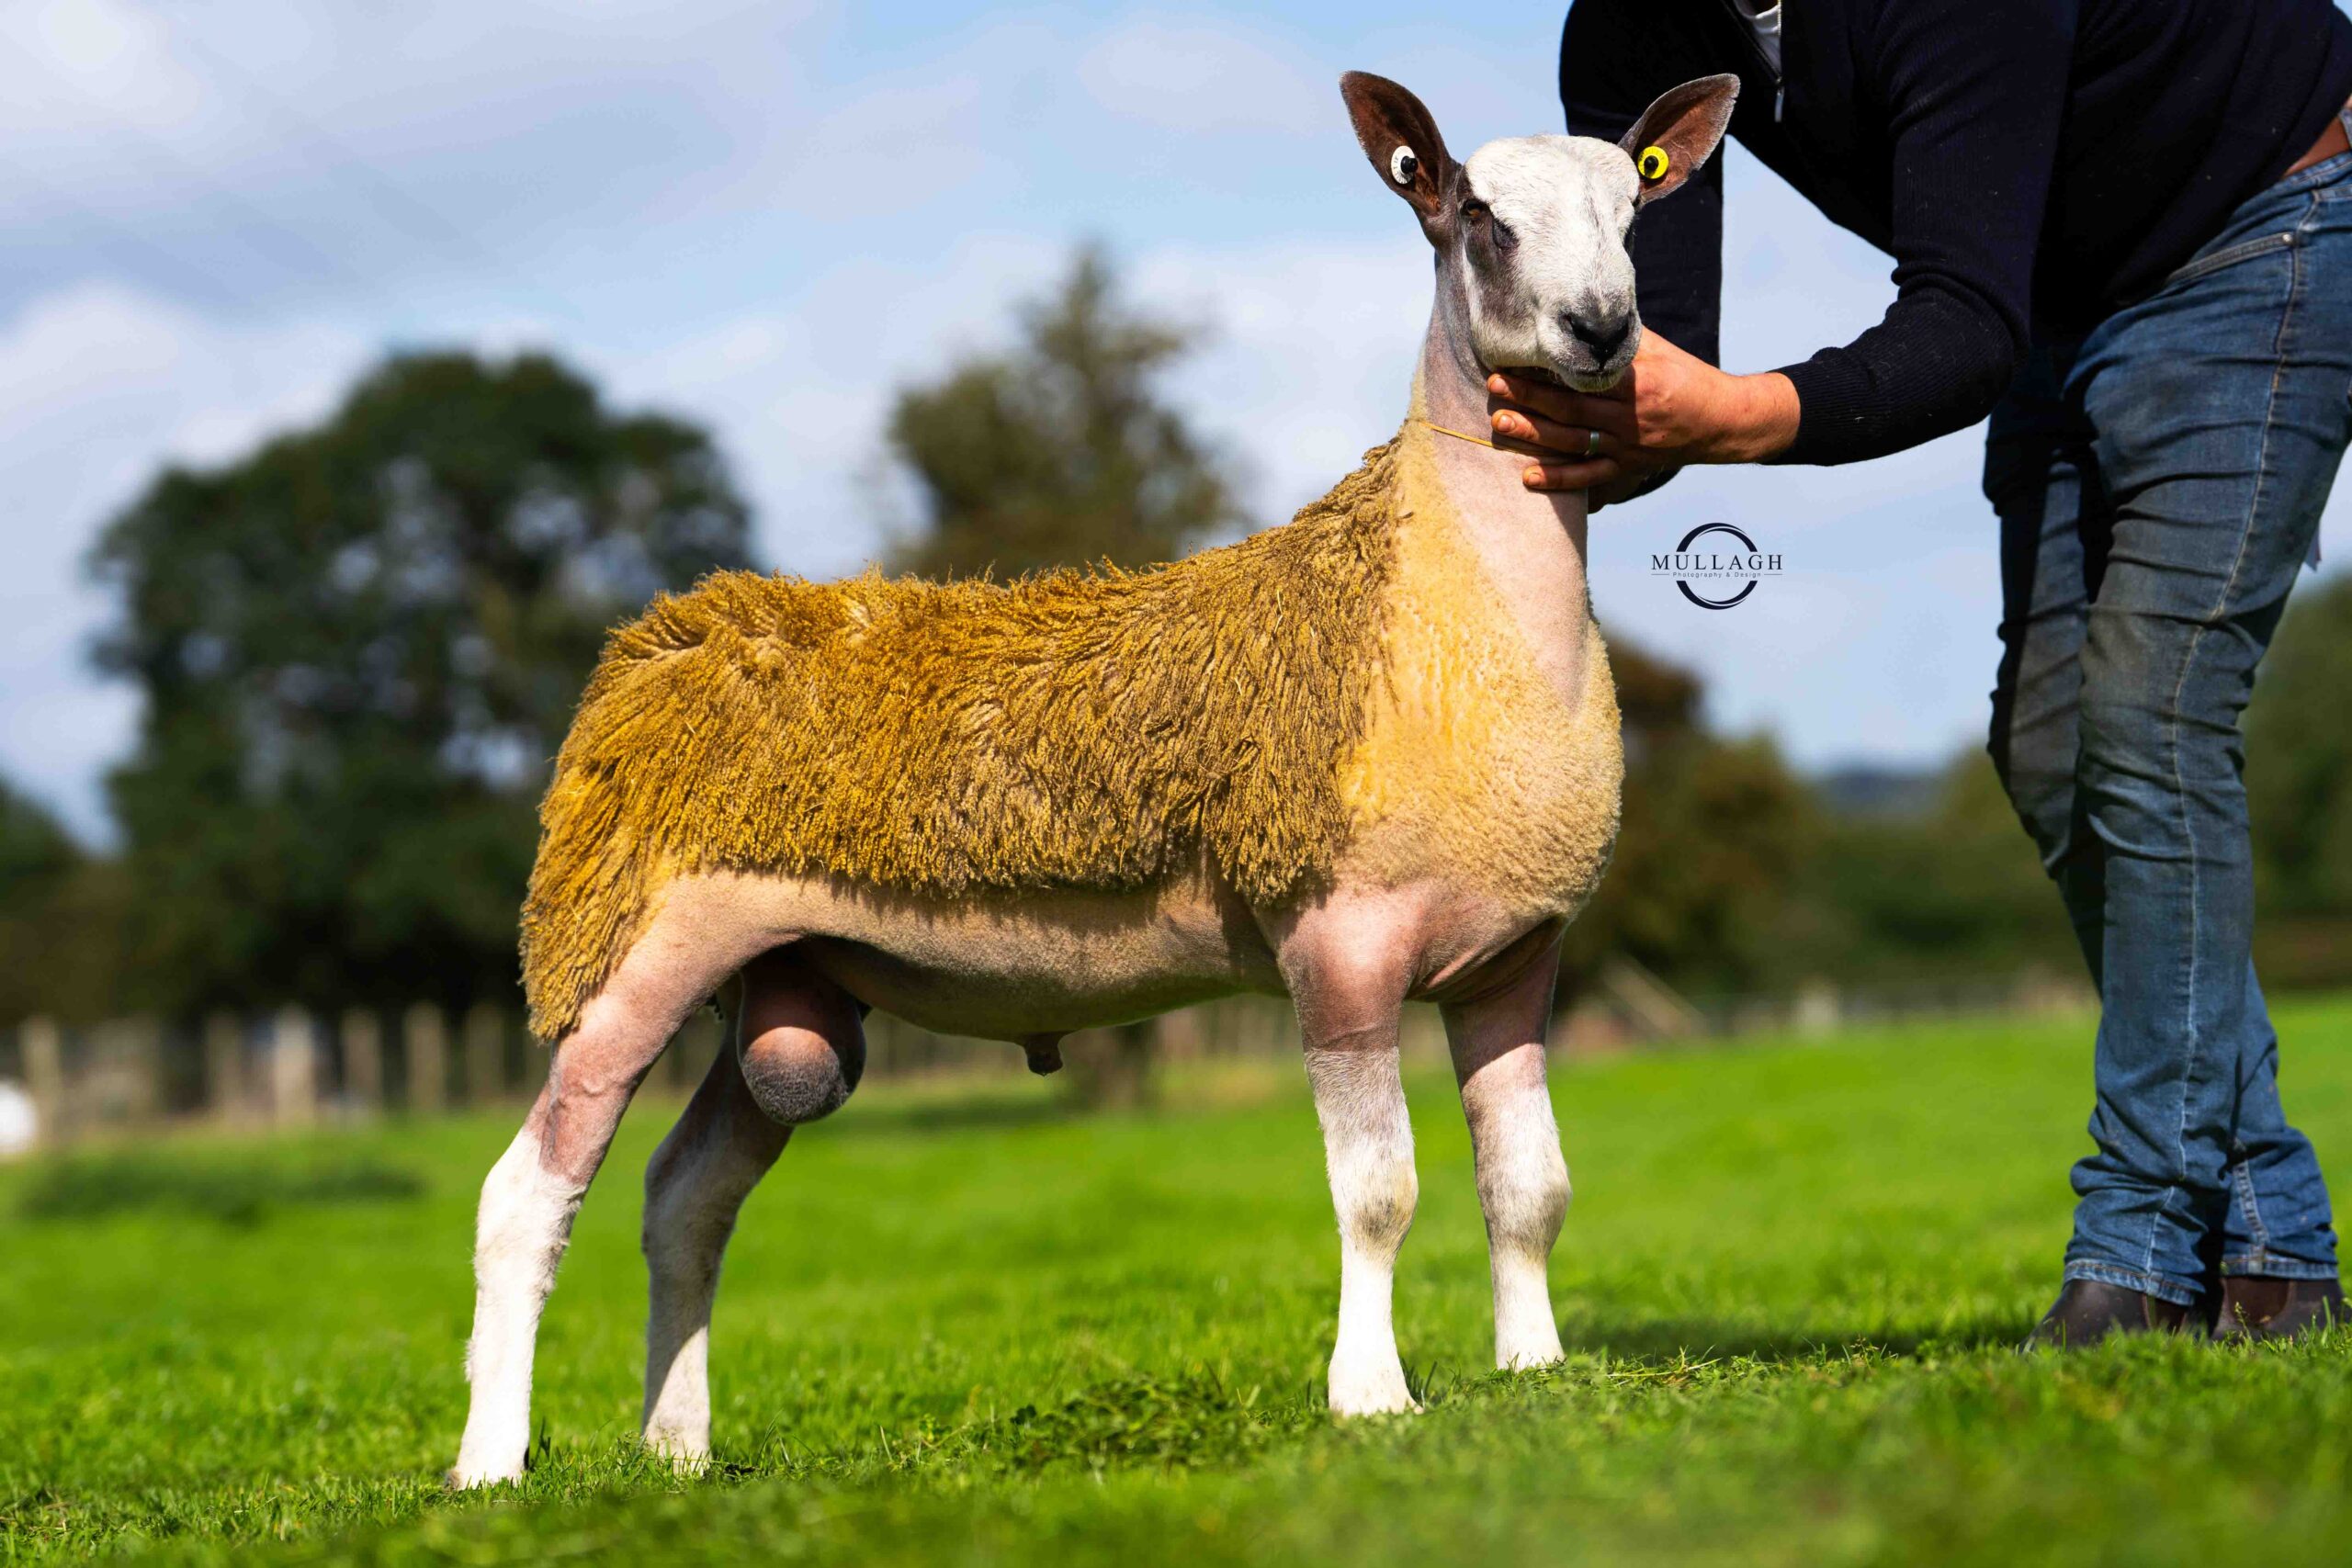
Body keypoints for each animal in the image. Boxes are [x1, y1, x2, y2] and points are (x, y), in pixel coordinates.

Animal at [451, 69, 1742, 1488]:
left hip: (778, 979)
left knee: (685, 1196)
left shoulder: (1515, 952)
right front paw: (1369, 1396)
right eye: (1477, 216)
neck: (1450, 603)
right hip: (627, 945)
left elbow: (1531, 1187)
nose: (1601, 328)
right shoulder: (1338, 940)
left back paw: (675, 1448)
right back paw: (490, 1463)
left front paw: (1534, 1371)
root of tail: (663, 640)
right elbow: (1379, 1193)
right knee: (527, 1192)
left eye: (1635, 212)